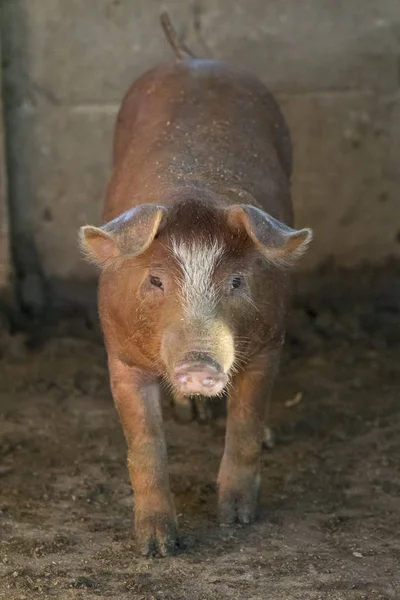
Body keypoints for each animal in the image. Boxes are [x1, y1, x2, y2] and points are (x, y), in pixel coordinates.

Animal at [79, 12, 312, 556]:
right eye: (155, 279)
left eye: (238, 281)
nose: (201, 364)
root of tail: (191, 58)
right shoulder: (120, 358)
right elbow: (145, 448)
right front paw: (157, 548)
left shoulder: (269, 344)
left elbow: (244, 427)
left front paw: (237, 521)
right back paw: (190, 416)